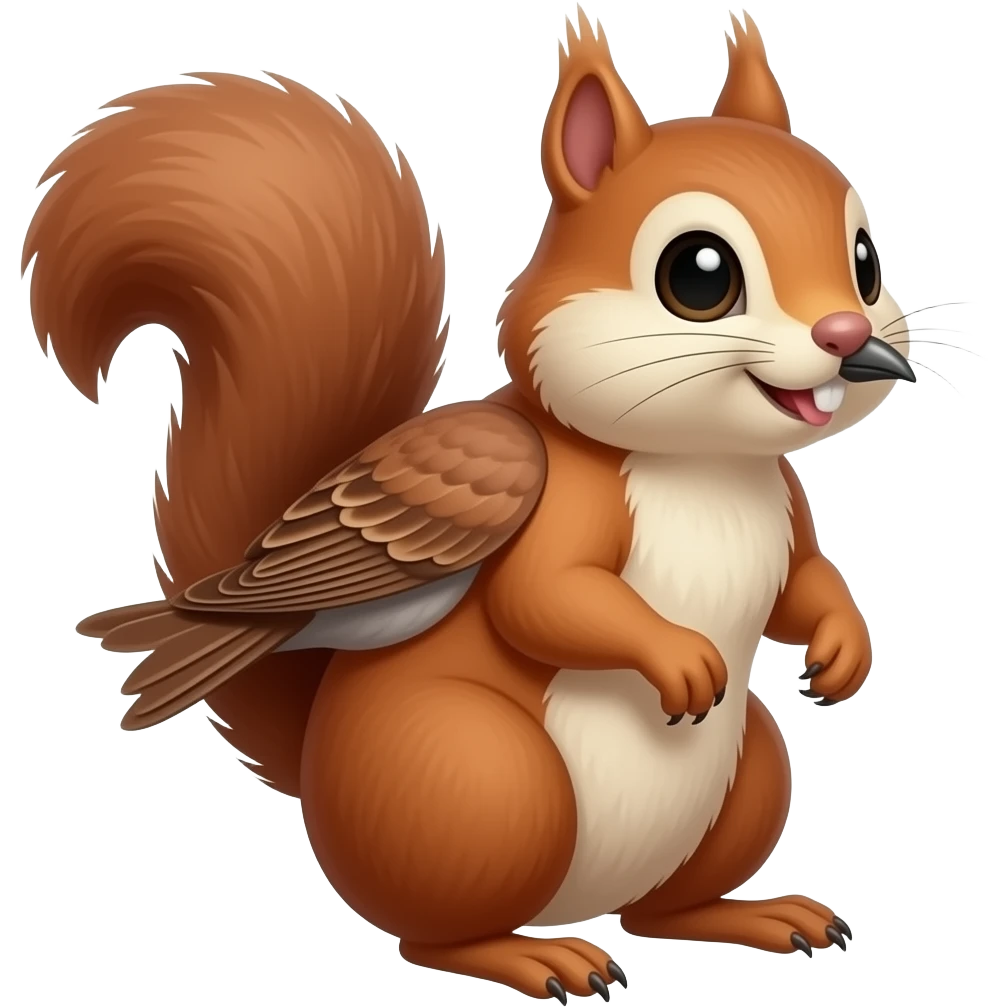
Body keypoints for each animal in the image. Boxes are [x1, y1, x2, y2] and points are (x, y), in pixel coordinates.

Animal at [25, 11, 914, 1001]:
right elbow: (547, 598)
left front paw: (844, 648)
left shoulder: (788, 507)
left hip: (746, 773)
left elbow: (804, 583)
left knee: (661, 911)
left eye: (865, 261)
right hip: (482, 781)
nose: (849, 339)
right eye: (698, 274)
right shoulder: (559, 514)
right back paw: (531, 954)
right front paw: (677, 657)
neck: (702, 464)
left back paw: (750, 913)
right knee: (434, 936)